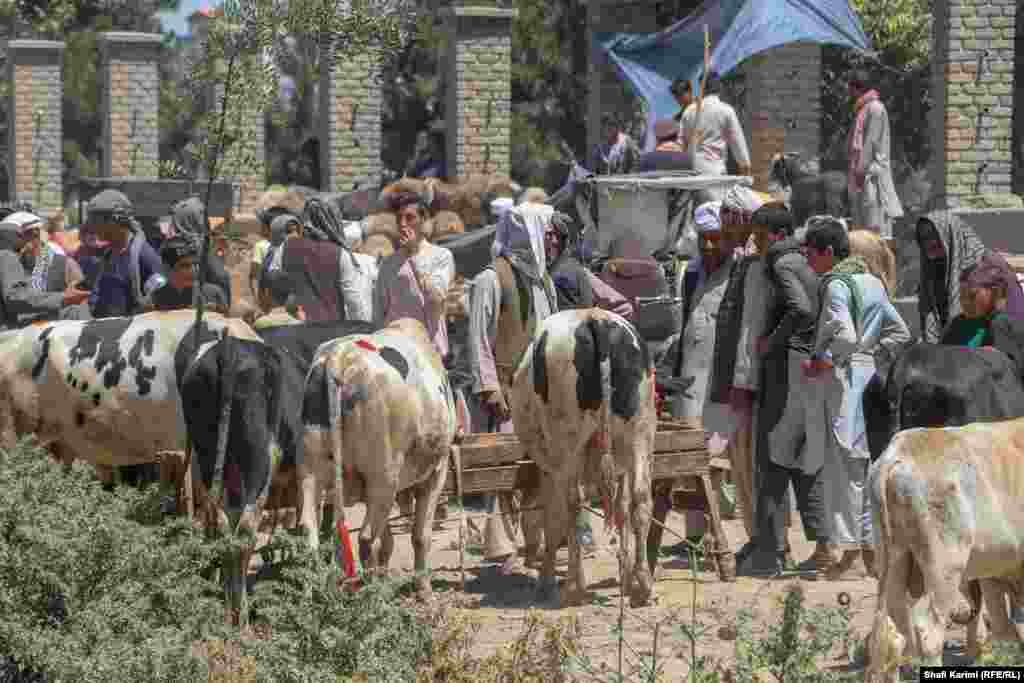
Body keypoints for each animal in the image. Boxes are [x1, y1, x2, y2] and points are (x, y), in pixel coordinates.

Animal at [299, 317, 454, 593]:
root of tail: (339, 356)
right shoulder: (437, 471)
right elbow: (420, 536)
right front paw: (423, 589)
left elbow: (389, 539)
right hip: (384, 475)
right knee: (366, 538)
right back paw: (373, 592)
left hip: (312, 473)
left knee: (310, 532)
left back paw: (311, 594)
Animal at [509, 309, 655, 610]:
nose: (528, 557)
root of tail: (594, 318)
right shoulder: (621, 467)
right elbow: (622, 509)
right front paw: (625, 577)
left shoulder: (550, 468)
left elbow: (552, 519)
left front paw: (546, 581)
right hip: (640, 433)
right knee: (641, 499)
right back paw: (642, 586)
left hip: (567, 442)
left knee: (573, 503)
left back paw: (574, 588)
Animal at [868, 421, 1024, 683]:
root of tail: (899, 451)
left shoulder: (993, 571)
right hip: (944, 568)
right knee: (928, 631)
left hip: (893, 561)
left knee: (893, 633)